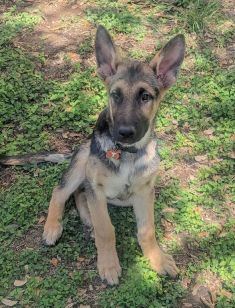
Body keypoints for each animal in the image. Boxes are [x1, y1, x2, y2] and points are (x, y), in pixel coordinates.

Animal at [42, 25, 185, 286]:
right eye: (115, 95)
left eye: (145, 96)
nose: (125, 132)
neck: (127, 154)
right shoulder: (97, 188)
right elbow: (106, 230)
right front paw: (108, 265)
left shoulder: (144, 192)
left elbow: (147, 230)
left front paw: (157, 259)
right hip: (82, 163)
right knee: (61, 192)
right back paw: (53, 227)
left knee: (80, 195)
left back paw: (87, 219)